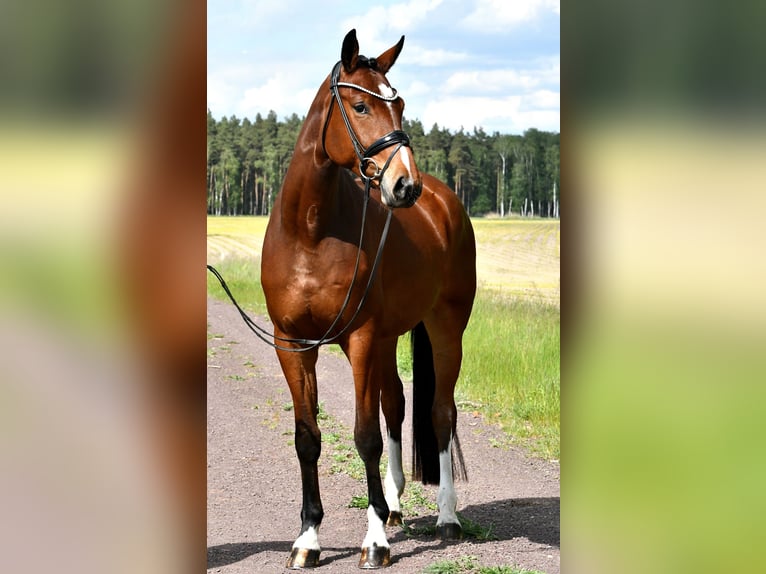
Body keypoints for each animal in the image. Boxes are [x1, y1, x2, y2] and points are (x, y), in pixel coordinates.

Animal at [260, 29, 476, 569]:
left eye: (399, 104)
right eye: (360, 105)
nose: (405, 184)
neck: (311, 232)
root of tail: (444, 200)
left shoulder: (358, 339)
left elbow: (365, 436)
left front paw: (374, 539)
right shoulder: (293, 344)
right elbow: (308, 438)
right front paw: (308, 538)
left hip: (445, 328)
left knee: (440, 413)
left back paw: (446, 516)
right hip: (387, 338)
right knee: (396, 403)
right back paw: (395, 505)